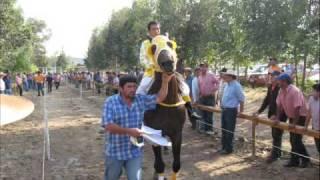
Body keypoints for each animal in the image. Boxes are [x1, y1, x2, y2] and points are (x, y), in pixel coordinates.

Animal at [144, 35, 186, 180]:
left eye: (170, 44)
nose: (168, 63)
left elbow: (177, 165)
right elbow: (159, 165)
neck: (168, 103)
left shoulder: (177, 133)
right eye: (153, 48)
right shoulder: (154, 134)